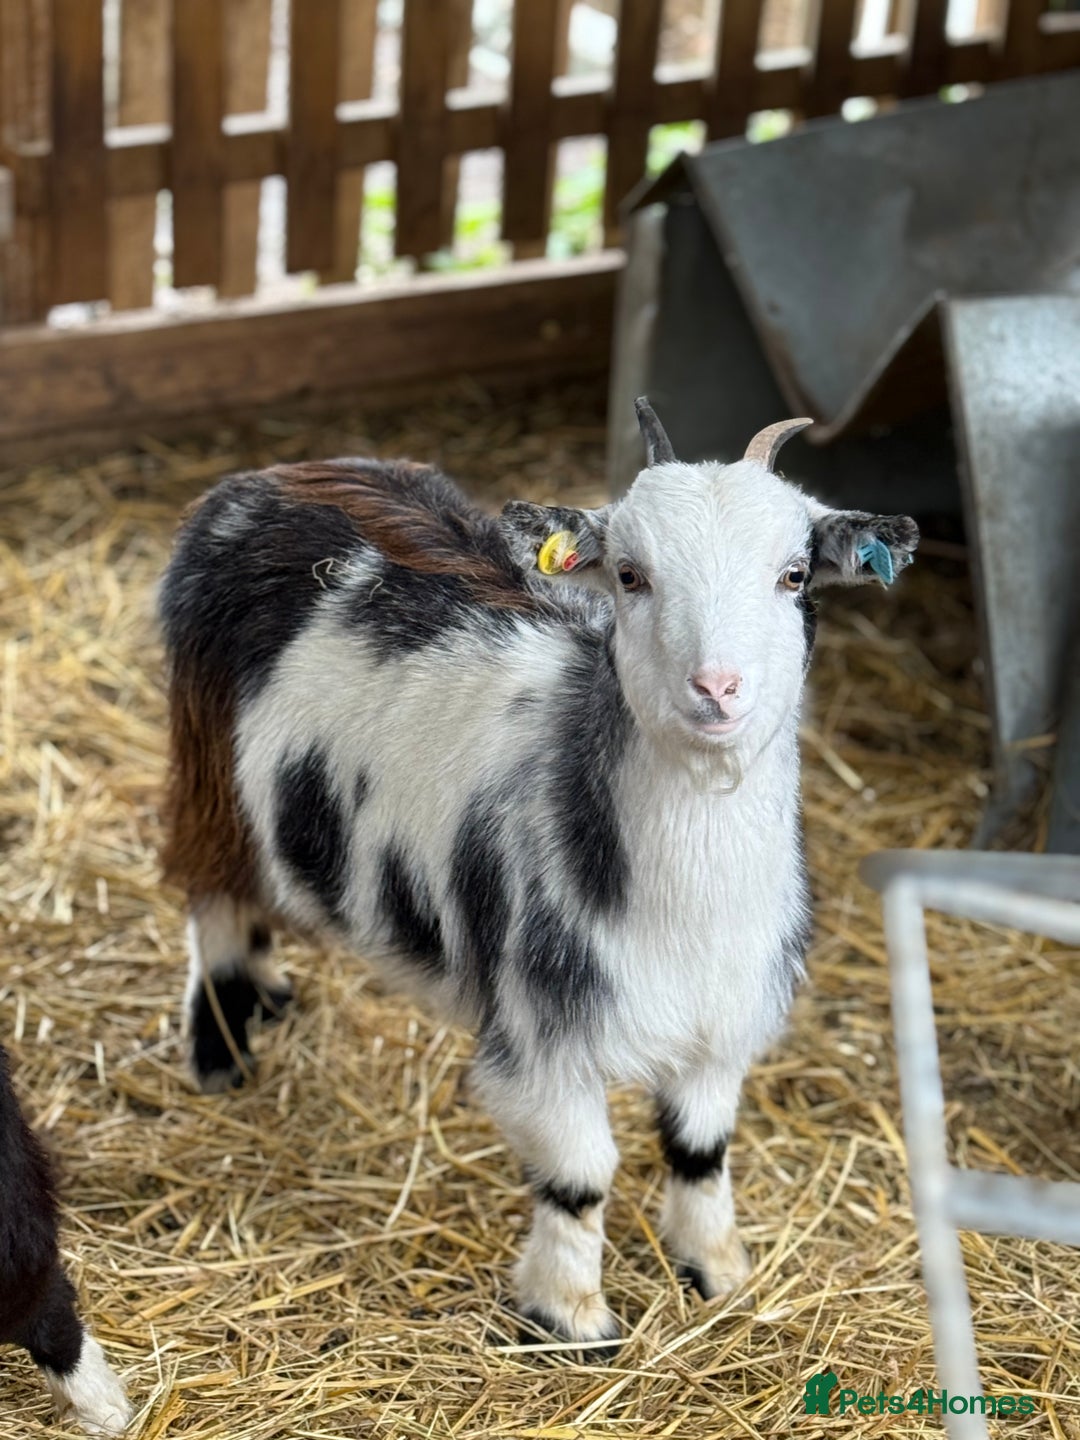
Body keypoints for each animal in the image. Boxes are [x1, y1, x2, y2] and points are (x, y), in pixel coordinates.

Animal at [158, 401, 917, 1347]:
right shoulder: (543, 1036)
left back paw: (268, 992)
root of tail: (262, 479)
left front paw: (718, 1273)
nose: (718, 688)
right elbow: (580, 1178)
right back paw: (221, 1051)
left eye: (794, 574)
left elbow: (700, 1153)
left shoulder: (721, 1026)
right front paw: (572, 1318)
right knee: (214, 898)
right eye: (629, 575)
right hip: (206, 765)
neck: (688, 907)